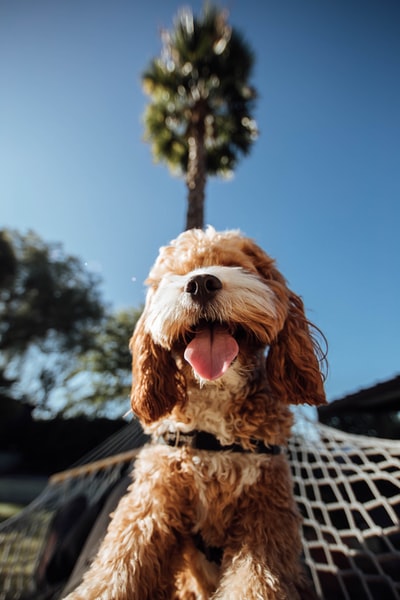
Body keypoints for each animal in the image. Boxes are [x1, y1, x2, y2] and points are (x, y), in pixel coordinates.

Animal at [65, 227, 326, 596]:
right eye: (177, 274)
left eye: (234, 264)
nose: (201, 283)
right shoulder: (151, 505)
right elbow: (117, 572)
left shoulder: (264, 516)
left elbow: (256, 582)